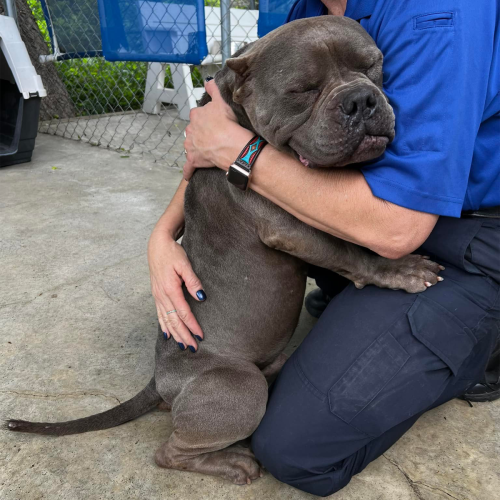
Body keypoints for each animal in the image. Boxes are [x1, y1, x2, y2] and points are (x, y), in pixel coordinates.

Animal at [6, 18, 442, 484]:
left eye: (372, 66)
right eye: (303, 89)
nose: (361, 99)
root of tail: (159, 381)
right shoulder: (292, 228)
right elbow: (349, 252)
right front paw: (401, 270)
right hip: (239, 387)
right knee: (171, 452)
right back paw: (235, 462)